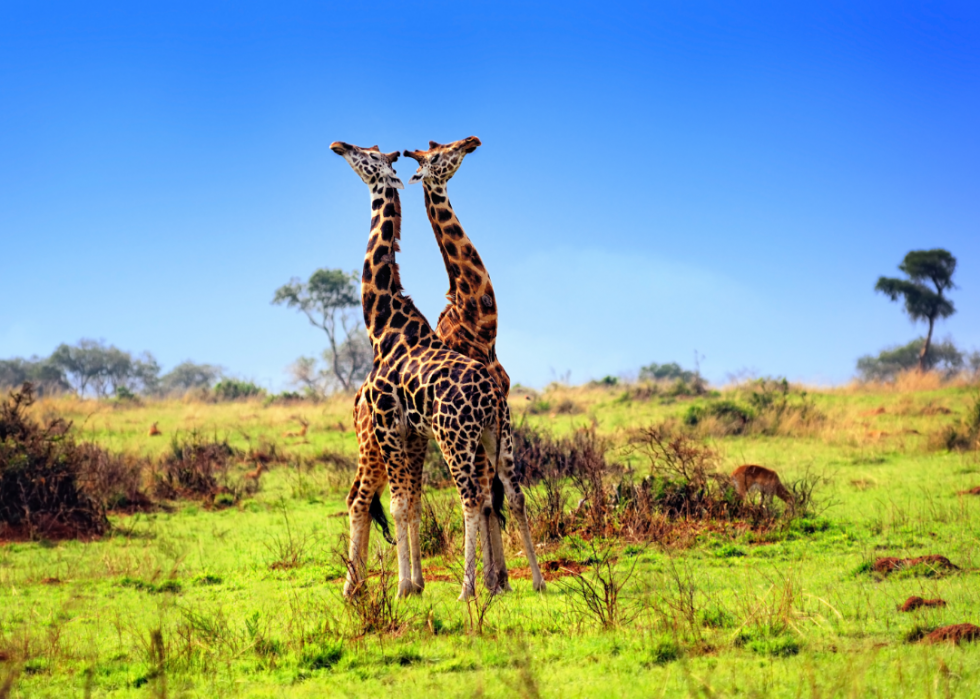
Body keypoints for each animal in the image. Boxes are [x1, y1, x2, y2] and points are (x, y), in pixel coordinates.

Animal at [330, 138, 544, 600]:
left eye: (366, 155)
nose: (338, 145)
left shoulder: (395, 426)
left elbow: (407, 503)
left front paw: (408, 587)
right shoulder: (407, 432)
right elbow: (412, 502)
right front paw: (420, 583)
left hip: (448, 438)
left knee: (467, 497)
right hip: (487, 436)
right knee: (508, 491)